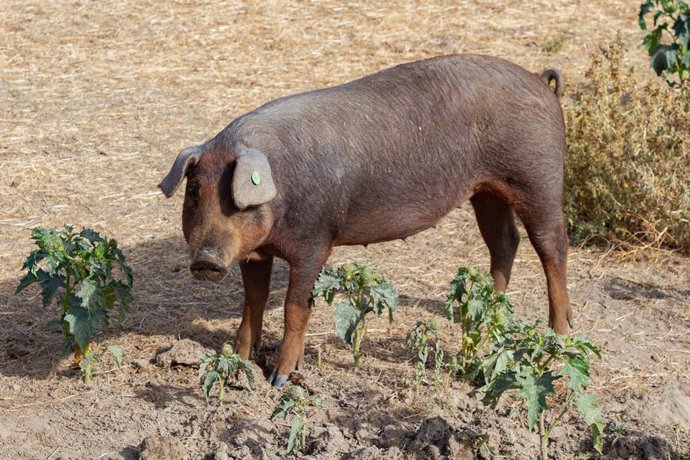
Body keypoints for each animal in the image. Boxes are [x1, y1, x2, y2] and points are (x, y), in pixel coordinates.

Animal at [159, 54, 573, 387]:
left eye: (237, 199)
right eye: (194, 191)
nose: (206, 260)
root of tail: (540, 80)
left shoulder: (315, 243)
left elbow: (296, 308)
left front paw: (278, 379)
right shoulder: (255, 253)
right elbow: (253, 301)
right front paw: (236, 359)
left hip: (538, 178)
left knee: (552, 246)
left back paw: (561, 332)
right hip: (485, 191)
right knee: (505, 243)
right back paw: (481, 312)